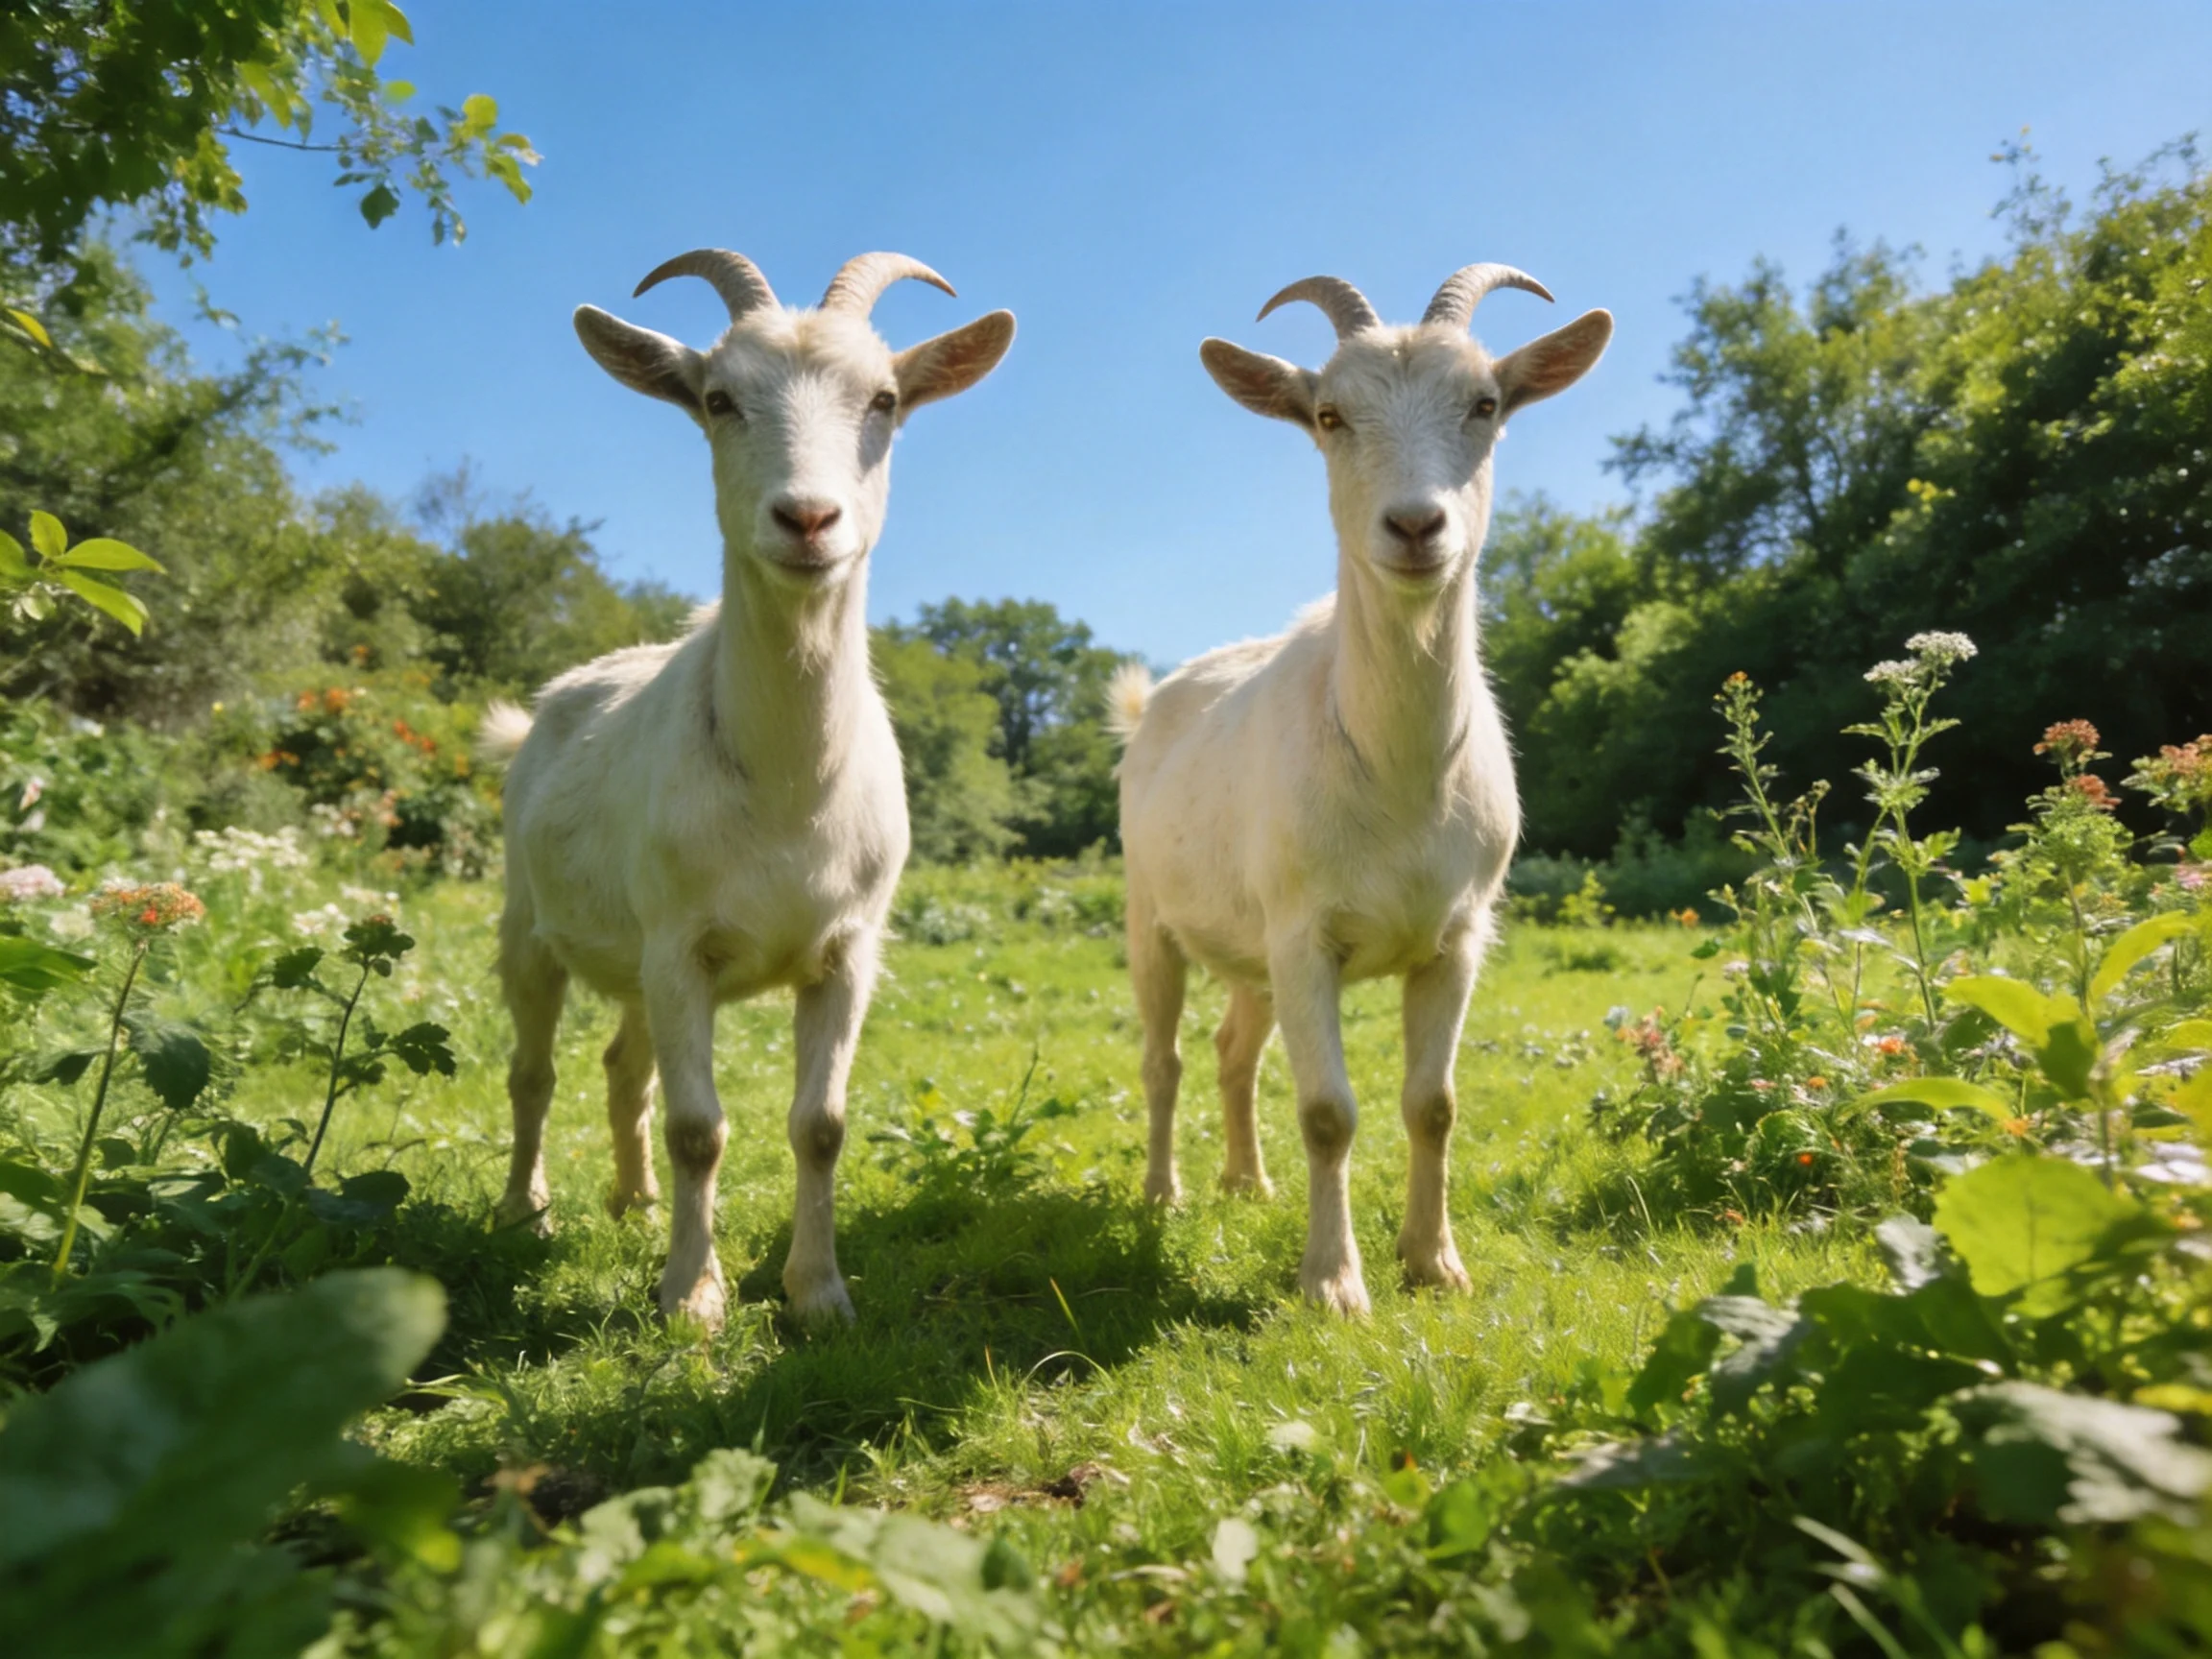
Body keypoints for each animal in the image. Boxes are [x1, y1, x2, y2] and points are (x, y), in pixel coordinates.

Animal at [480, 249, 1014, 1328]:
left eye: (886, 399)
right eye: (718, 399)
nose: (808, 518)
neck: (788, 794)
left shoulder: (846, 952)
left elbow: (820, 1124)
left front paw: (817, 1293)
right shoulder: (681, 944)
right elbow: (700, 1127)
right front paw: (693, 1296)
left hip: (637, 958)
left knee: (623, 1068)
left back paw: (635, 1203)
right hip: (532, 924)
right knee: (533, 1070)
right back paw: (528, 1212)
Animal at [1112, 265, 1610, 1315]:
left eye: (1486, 404)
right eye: (1329, 415)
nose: (1417, 525)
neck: (1399, 781)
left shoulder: (1458, 936)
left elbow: (1434, 1104)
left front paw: (1435, 1262)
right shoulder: (1305, 934)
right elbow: (1328, 1111)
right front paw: (1334, 1285)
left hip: (1250, 938)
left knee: (1233, 1049)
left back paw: (1246, 1183)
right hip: (1151, 913)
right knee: (1164, 1056)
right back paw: (1165, 1193)